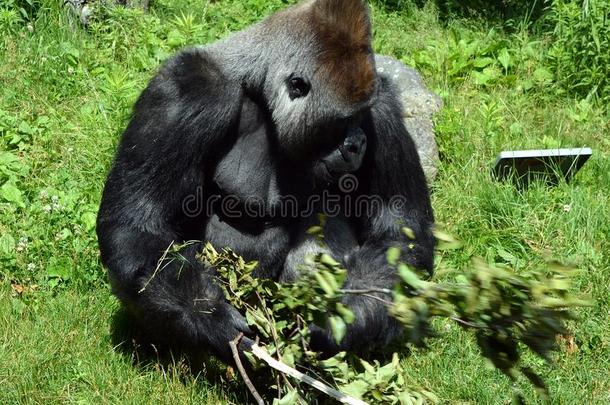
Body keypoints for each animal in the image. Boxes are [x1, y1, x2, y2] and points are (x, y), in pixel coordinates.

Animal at [97, 0, 432, 362]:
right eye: (343, 121)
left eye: (360, 116)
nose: (358, 143)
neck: (258, 86)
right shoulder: (186, 93)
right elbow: (139, 227)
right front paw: (208, 316)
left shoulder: (382, 107)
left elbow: (397, 232)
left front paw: (339, 318)